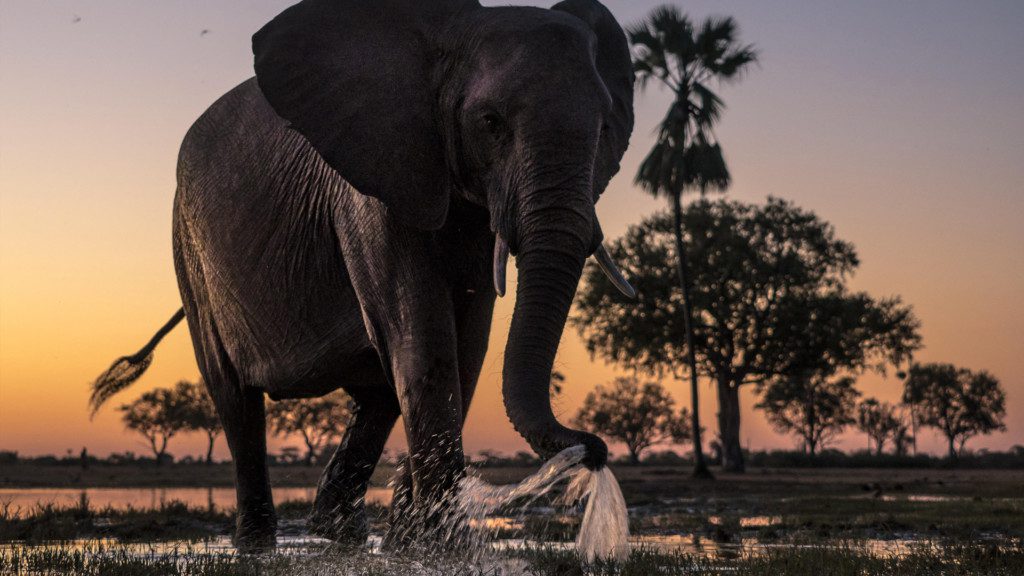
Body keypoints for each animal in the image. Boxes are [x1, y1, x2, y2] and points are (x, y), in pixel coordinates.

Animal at [90, 0, 635, 552]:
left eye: (605, 130)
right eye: (491, 122)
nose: (594, 451)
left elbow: (466, 350)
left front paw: (414, 545)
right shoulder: (373, 192)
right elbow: (426, 344)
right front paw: (442, 551)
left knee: (376, 389)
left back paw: (340, 533)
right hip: (188, 247)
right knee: (235, 395)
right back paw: (260, 543)